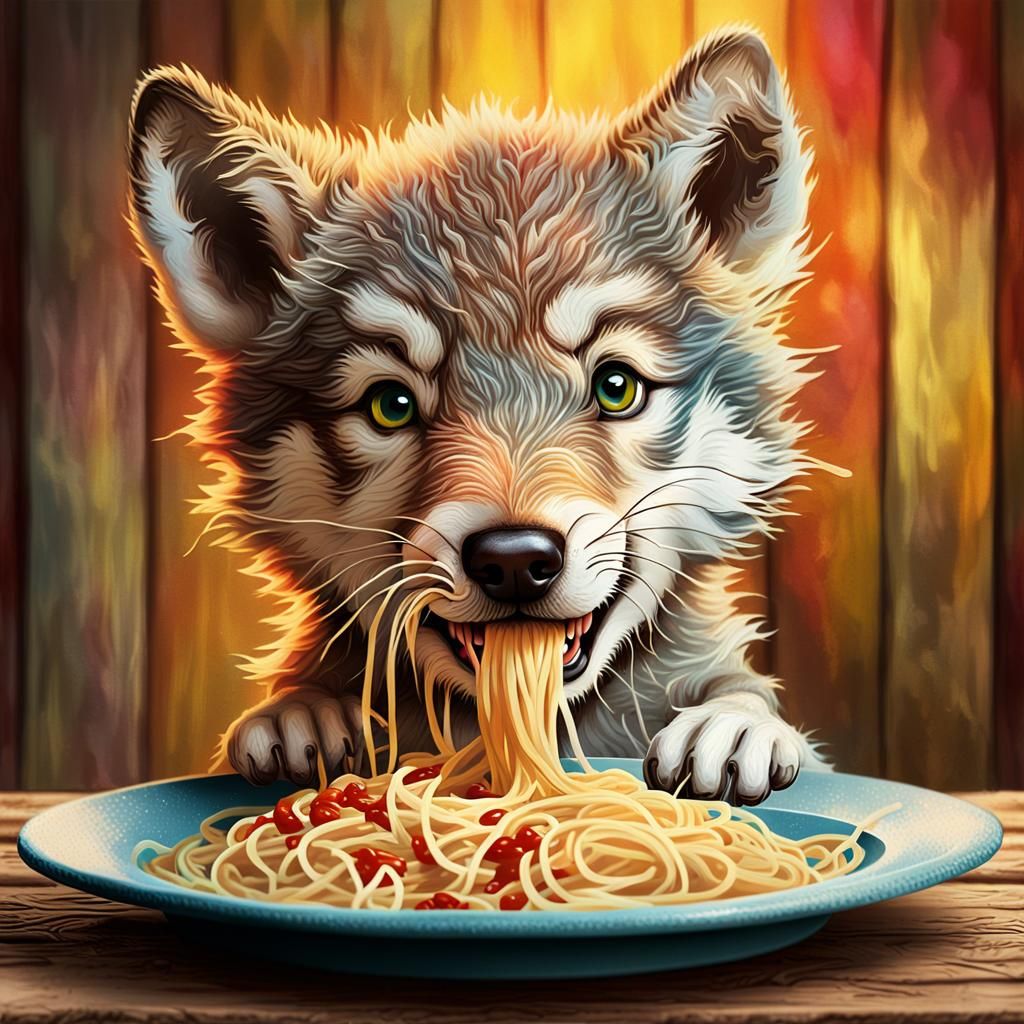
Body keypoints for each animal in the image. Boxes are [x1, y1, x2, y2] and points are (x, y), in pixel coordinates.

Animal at [127, 27, 840, 806]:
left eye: (616, 386)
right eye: (390, 405)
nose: (515, 561)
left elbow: (741, 696)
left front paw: (737, 722)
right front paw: (303, 710)